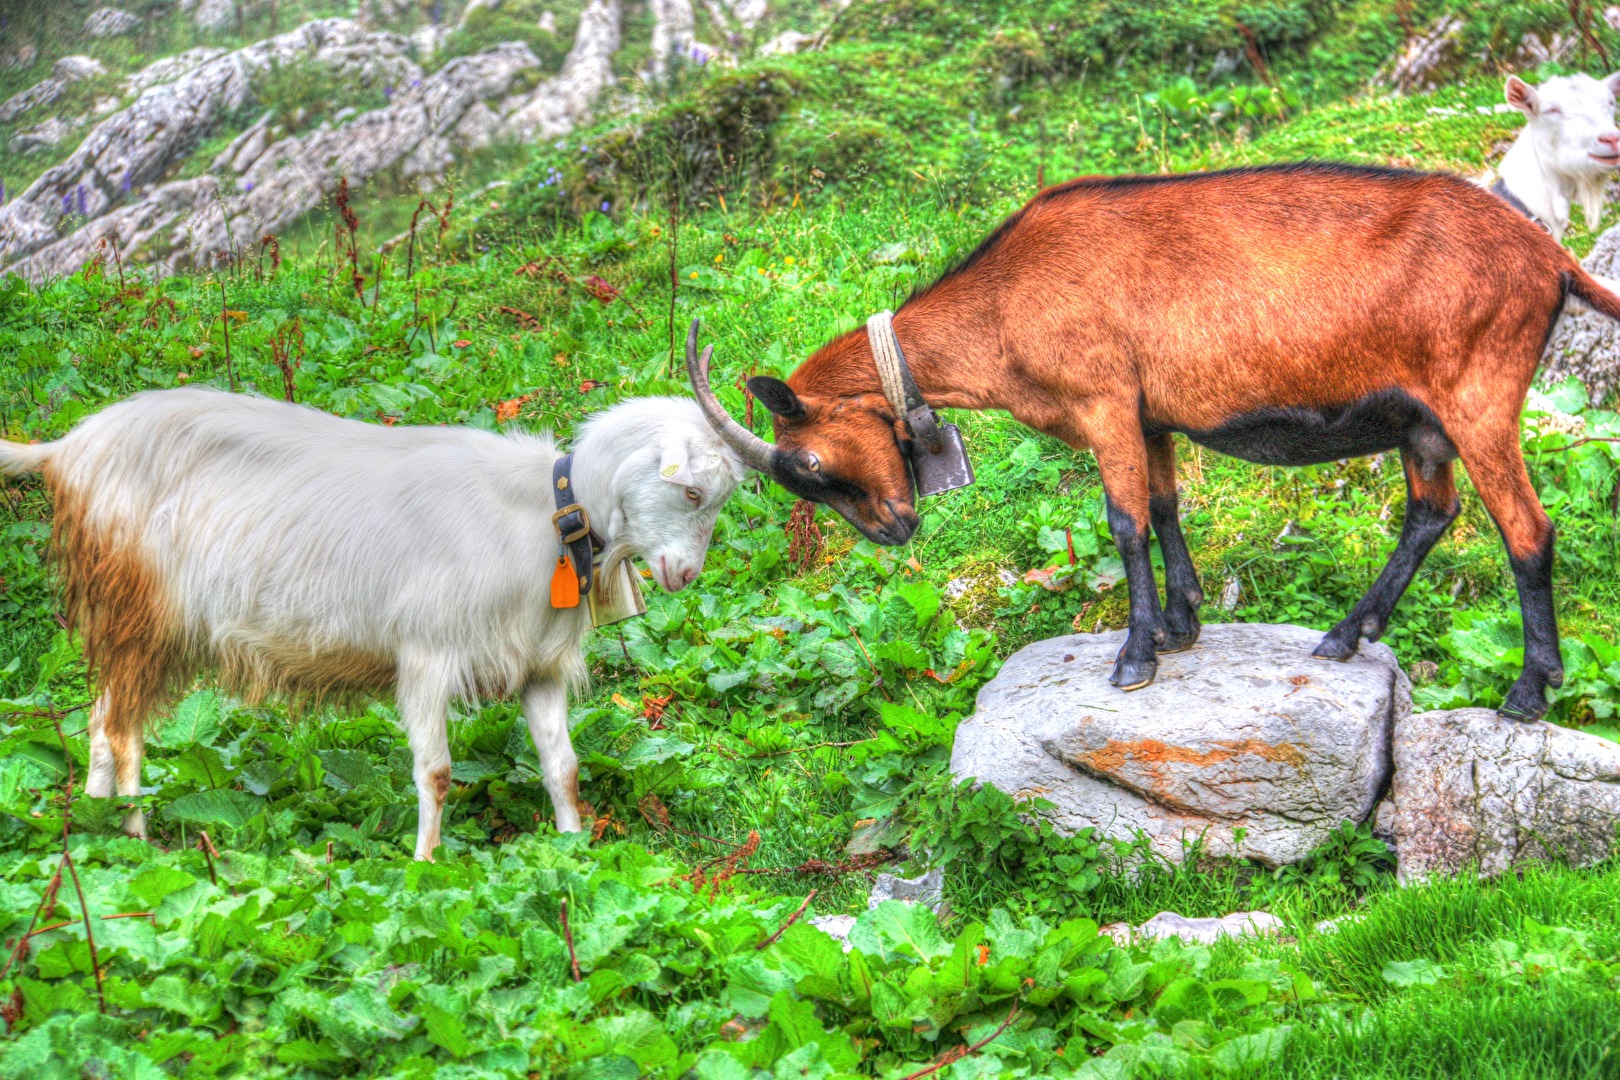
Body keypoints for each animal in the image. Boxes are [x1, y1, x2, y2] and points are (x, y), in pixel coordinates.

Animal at [0, 389, 744, 859]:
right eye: (691, 491)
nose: (685, 575)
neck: (542, 514)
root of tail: (69, 446)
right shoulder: (426, 657)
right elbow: (436, 772)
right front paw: (424, 865)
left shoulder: (537, 666)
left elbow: (562, 766)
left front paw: (572, 848)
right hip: (143, 610)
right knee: (123, 734)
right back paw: (141, 846)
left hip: (130, 621)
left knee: (100, 721)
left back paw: (96, 843)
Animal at [689, 163, 1620, 722]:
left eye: (808, 463)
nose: (894, 529)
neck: (1005, 298)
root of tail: (1552, 259)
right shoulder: (1150, 416)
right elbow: (1167, 508)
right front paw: (1181, 624)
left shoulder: (1102, 401)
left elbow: (1125, 521)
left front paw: (1135, 657)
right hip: (1423, 423)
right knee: (1431, 514)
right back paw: (1345, 635)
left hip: (1477, 394)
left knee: (1527, 530)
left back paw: (1529, 691)